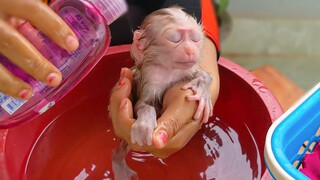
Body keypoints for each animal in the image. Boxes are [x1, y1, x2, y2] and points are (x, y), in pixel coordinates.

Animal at [112, 5, 212, 180]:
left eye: (195, 39)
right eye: (175, 39)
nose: (191, 50)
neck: (170, 69)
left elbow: (202, 74)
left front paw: (202, 88)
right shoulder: (151, 76)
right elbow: (144, 104)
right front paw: (144, 123)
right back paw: (118, 162)